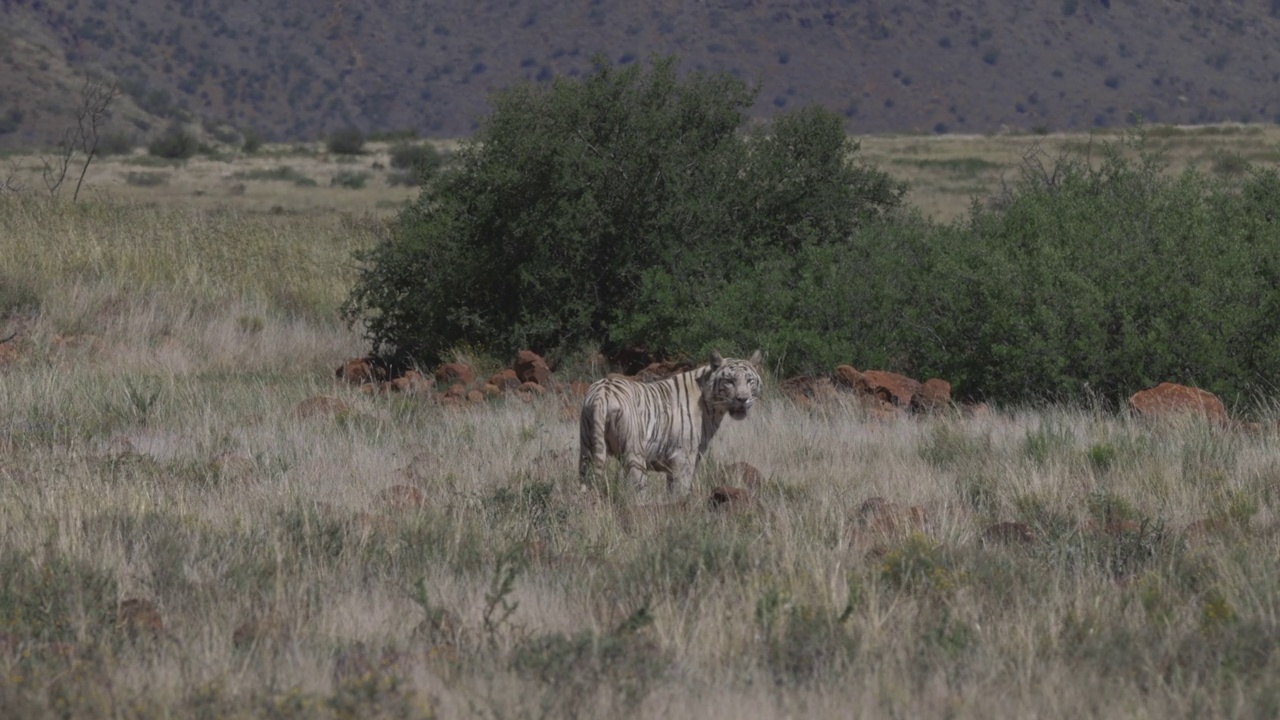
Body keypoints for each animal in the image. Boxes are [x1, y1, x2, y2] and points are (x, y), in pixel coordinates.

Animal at [578, 348, 757, 491]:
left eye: (749, 380)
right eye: (729, 381)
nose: (743, 399)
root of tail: (601, 394)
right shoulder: (683, 458)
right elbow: (679, 492)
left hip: (587, 451)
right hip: (634, 454)